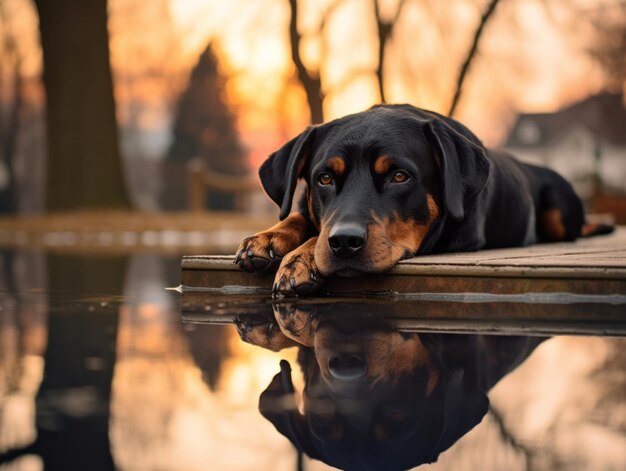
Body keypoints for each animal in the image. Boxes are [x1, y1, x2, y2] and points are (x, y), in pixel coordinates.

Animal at [234, 105, 608, 296]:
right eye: (324, 178)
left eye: (400, 176)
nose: (344, 242)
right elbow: (298, 217)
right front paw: (268, 239)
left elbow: (317, 234)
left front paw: (301, 258)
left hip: (559, 204)